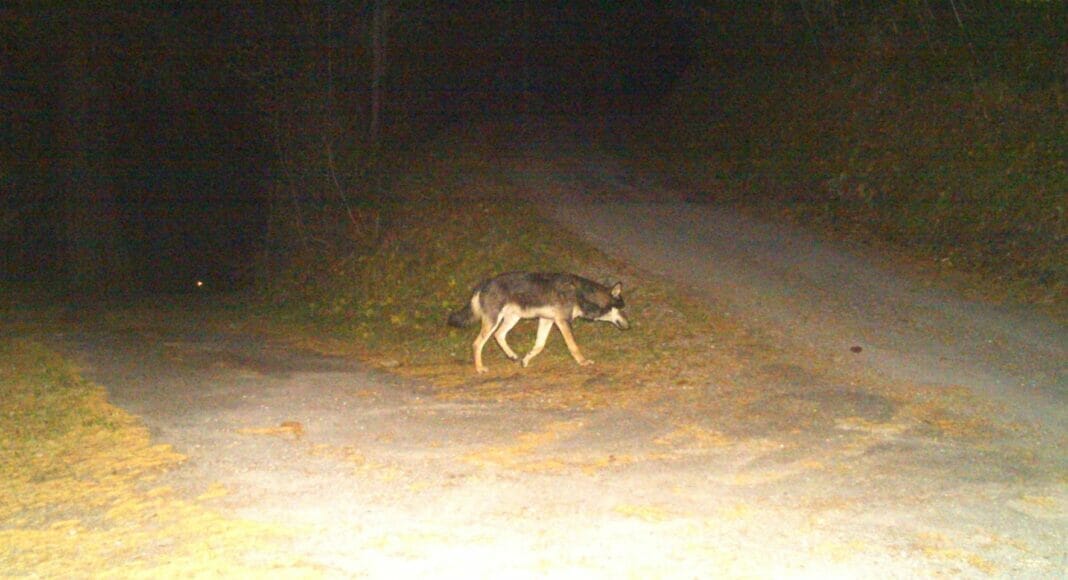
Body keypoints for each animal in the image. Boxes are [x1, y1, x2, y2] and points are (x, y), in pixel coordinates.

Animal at [447, 272, 630, 373]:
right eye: (622, 308)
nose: (630, 325)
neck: (582, 294)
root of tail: (483, 284)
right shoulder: (562, 322)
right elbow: (573, 346)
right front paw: (583, 362)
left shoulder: (547, 320)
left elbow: (539, 346)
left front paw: (526, 360)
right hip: (494, 321)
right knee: (477, 344)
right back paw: (479, 368)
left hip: (512, 319)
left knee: (499, 336)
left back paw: (512, 356)